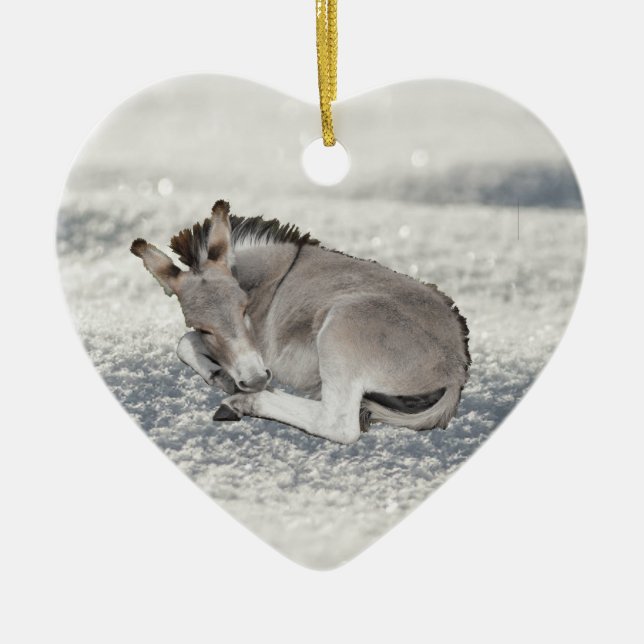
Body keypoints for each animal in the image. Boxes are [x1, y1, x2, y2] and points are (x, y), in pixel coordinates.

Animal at [130, 200, 470, 444]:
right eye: (204, 327)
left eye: (244, 308)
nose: (255, 379)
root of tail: (456, 368)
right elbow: (185, 341)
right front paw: (217, 374)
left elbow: (184, 342)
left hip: (341, 329)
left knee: (337, 425)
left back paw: (246, 402)